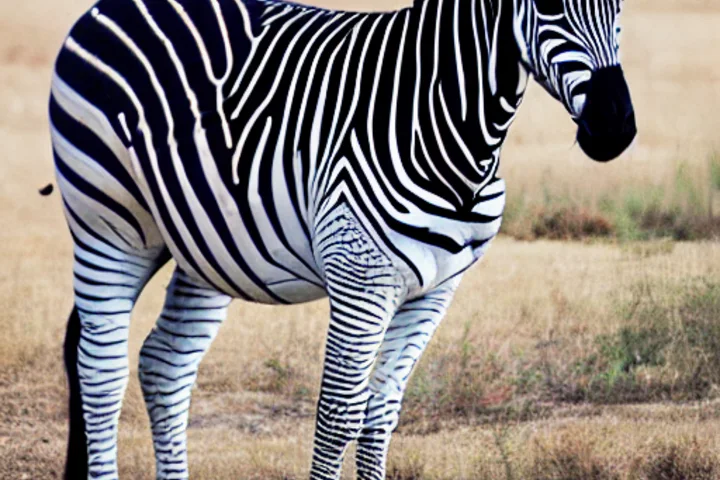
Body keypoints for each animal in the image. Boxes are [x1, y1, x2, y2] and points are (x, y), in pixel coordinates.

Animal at [50, 0, 635, 478]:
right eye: (550, 3)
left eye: (618, 4)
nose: (616, 128)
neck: (443, 122)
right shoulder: (362, 279)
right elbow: (338, 413)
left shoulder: (434, 291)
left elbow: (383, 410)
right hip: (109, 226)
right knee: (100, 372)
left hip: (203, 246)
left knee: (164, 365)